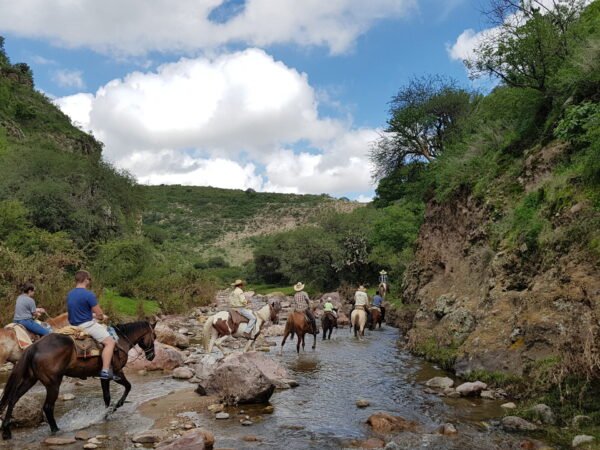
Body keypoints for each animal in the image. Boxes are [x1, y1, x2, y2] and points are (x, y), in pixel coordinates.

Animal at [0, 320, 157, 440]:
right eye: (154, 336)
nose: (152, 356)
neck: (120, 340)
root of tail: (34, 346)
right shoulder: (117, 373)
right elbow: (128, 387)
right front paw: (115, 407)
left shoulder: (103, 377)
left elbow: (106, 396)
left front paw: (105, 415)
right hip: (53, 384)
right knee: (47, 407)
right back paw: (56, 430)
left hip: (30, 379)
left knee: (13, 399)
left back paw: (7, 431)